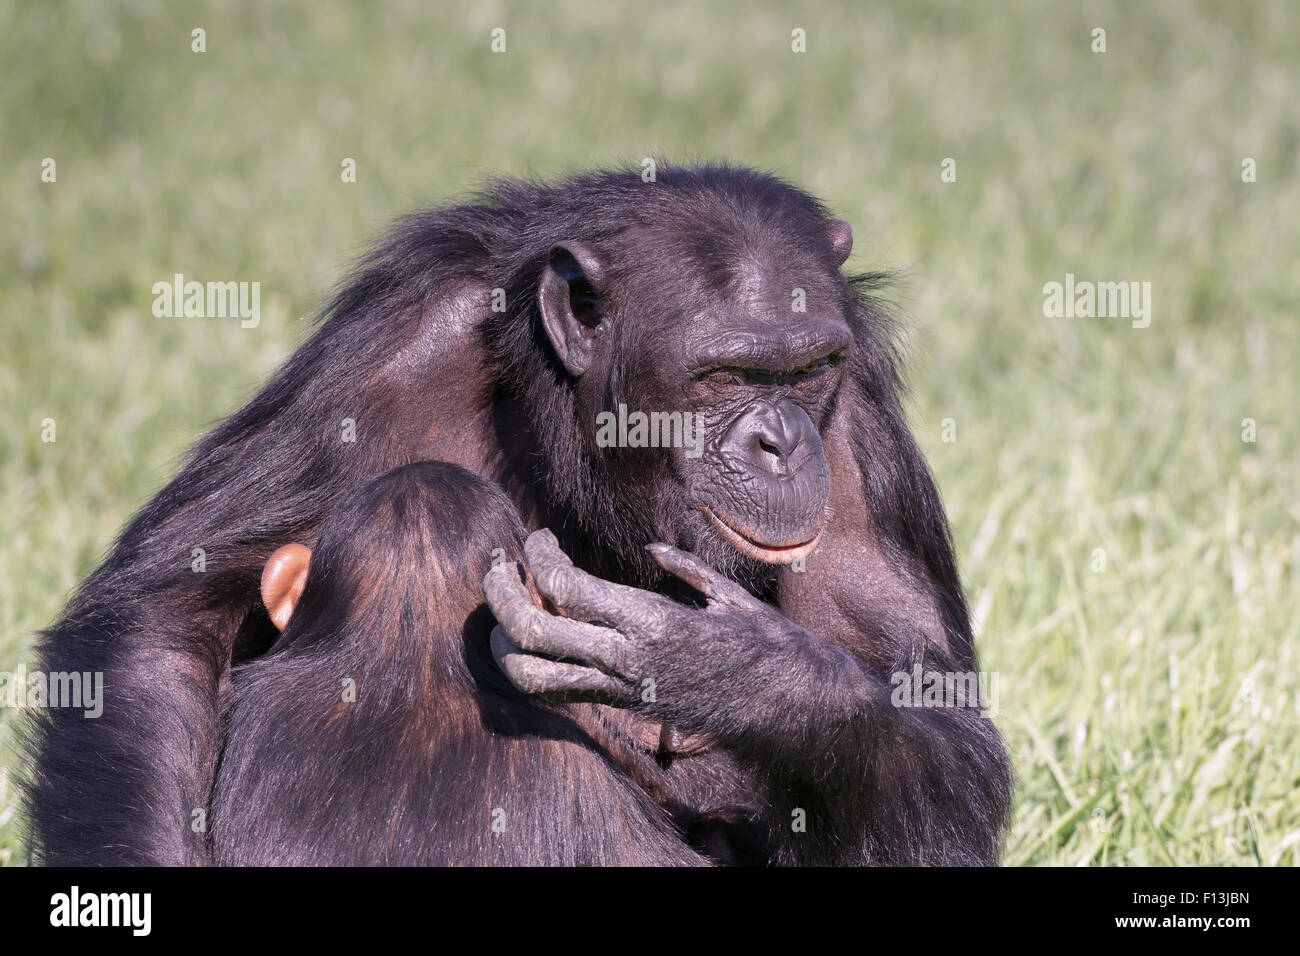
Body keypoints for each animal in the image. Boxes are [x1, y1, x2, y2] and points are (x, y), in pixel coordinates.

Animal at [22, 164, 1013, 868]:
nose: (782, 440)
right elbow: (166, 620)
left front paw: (722, 665)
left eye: (806, 370)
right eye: (726, 375)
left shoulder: (856, 415)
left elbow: (933, 709)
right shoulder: (393, 341)